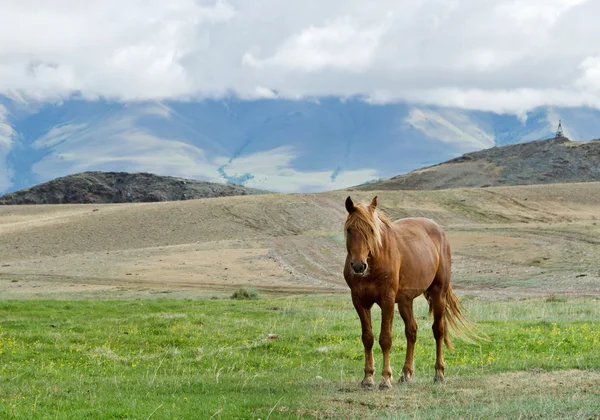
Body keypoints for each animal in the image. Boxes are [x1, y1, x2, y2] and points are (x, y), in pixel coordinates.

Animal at [342, 195, 474, 388]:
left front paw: (385, 379)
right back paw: (406, 373)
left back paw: (439, 373)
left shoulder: (387, 300)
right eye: (349, 229)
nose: (359, 266)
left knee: (438, 330)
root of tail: (439, 231)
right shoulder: (359, 301)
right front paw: (368, 377)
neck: (375, 262)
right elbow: (367, 338)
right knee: (411, 331)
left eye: (372, 229)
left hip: (438, 294)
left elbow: (385, 339)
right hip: (405, 301)